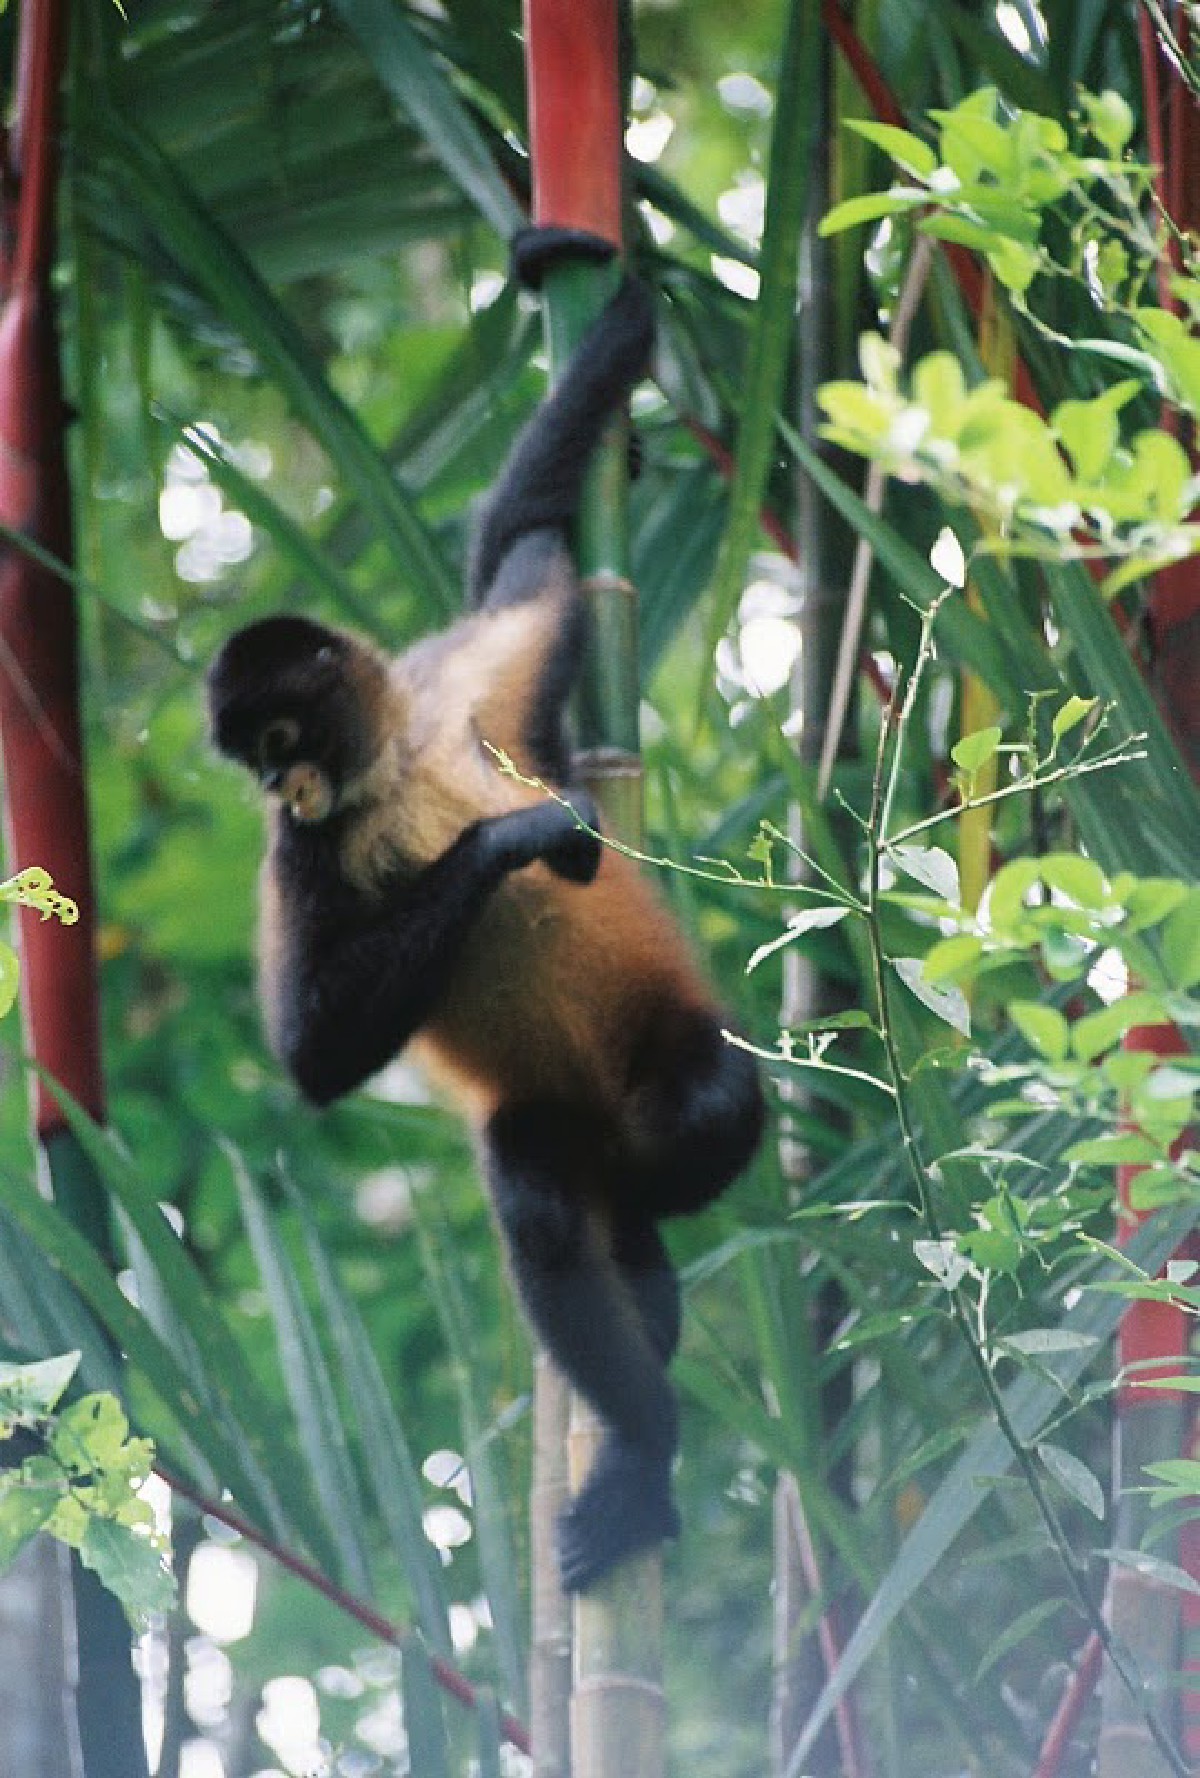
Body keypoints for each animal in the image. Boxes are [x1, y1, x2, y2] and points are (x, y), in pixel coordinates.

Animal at [207, 244, 764, 1592]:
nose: (282, 788)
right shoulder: (302, 854)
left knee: (707, 1106)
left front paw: (620, 296)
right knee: (542, 1194)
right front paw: (517, 837)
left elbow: (525, 546)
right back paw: (644, 1437)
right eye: (256, 762)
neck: (395, 767)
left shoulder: (466, 677)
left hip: (658, 1069)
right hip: (559, 1119)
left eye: (282, 737)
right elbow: (314, 1054)